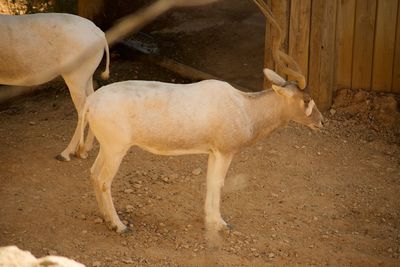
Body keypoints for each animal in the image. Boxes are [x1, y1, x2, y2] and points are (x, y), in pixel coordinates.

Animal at [0, 13, 109, 161]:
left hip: (75, 77)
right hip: (87, 77)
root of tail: (99, 33)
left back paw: (66, 153)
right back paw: (84, 150)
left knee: (82, 111)